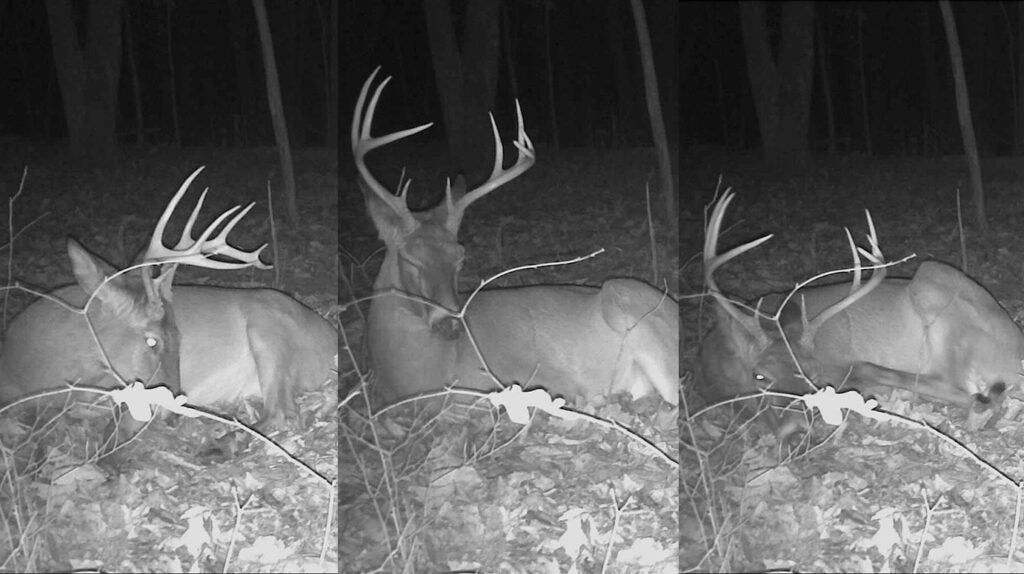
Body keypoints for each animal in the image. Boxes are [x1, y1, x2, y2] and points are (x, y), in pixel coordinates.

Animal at [0, 167, 337, 430]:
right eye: (152, 341)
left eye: (181, 336)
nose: (173, 411)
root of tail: (331, 336)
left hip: (269, 327)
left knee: (283, 413)